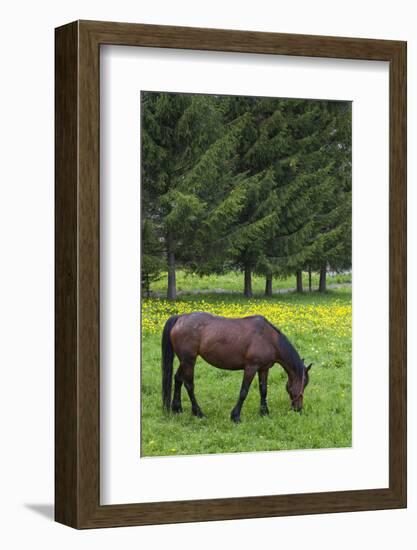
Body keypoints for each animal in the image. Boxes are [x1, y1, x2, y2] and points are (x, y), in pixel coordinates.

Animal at [161, 312, 310, 424]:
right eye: (303, 384)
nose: (298, 409)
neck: (269, 339)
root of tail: (180, 317)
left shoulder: (263, 369)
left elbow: (263, 390)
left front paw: (264, 412)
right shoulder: (251, 368)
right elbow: (243, 391)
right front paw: (235, 416)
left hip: (184, 360)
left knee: (178, 379)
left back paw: (177, 408)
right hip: (189, 360)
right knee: (189, 385)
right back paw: (198, 413)